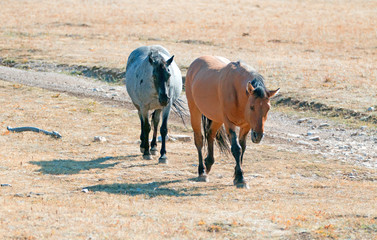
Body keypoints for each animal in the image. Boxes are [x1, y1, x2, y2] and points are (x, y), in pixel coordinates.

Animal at [185, 55, 280, 188]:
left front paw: (237, 175)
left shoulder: (246, 125)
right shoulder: (229, 123)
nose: (258, 135)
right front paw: (240, 178)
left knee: (210, 134)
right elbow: (236, 148)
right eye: (252, 107)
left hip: (217, 118)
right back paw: (202, 171)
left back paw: (208, 163)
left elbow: (243, 147)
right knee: (199, 139)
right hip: (195, 110)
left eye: (268, 108)